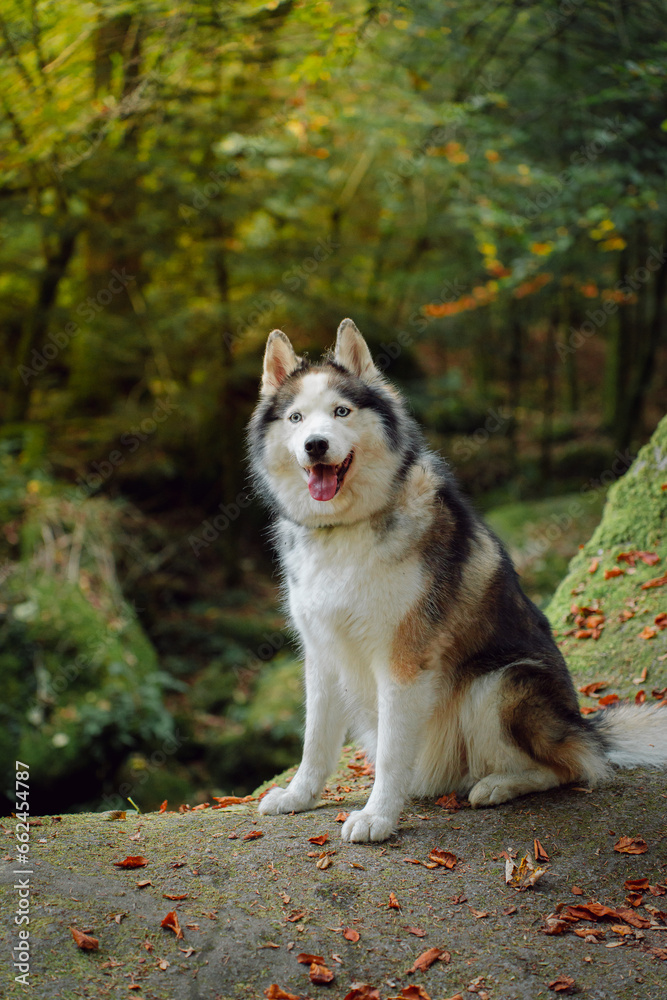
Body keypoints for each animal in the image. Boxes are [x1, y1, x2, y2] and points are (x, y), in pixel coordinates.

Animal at [249, 316, 667, 840]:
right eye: (297, 419)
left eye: (341, 412)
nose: (315, 445)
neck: (346, 528)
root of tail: (583, 725)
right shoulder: (321, 654)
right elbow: (314, 742)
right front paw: (299, 796)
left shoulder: (404, 661)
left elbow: (391, 754)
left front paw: (377, 816)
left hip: (498, 684)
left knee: (570, 767)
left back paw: (499, 786)